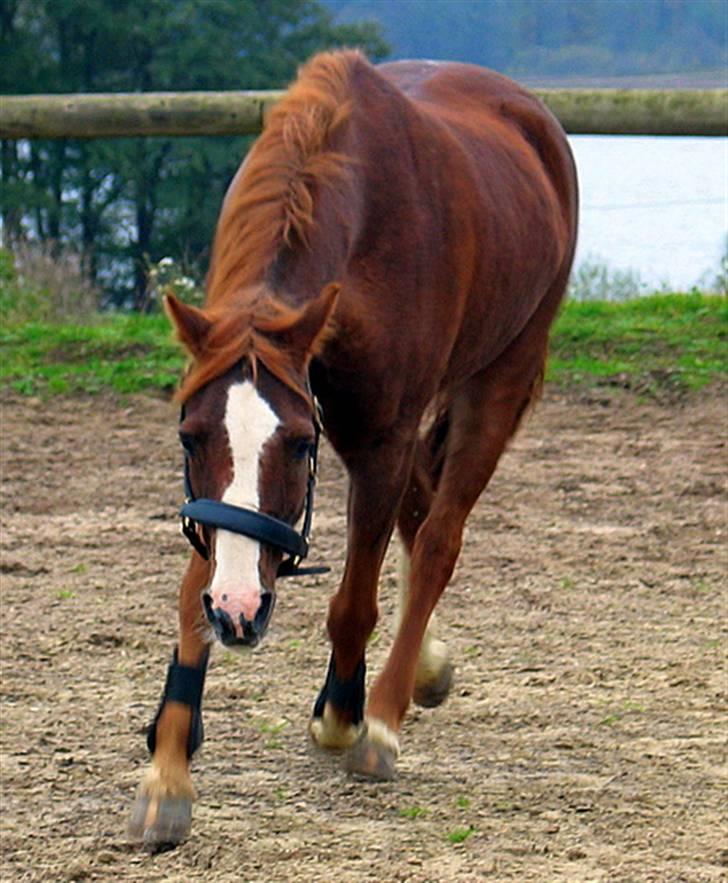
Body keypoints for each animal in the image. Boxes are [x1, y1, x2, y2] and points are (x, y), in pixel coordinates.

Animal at [128, 50, 576, 848]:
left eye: (298, 442)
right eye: (188, 435)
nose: (241, 610)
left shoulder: (379, 437)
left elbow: (353, 600)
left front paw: (343, 710)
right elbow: (191, 594)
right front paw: (168, 769)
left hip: (501, 377)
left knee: (438, 538)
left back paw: (384, 716)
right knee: (421, 514)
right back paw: (423, 666)